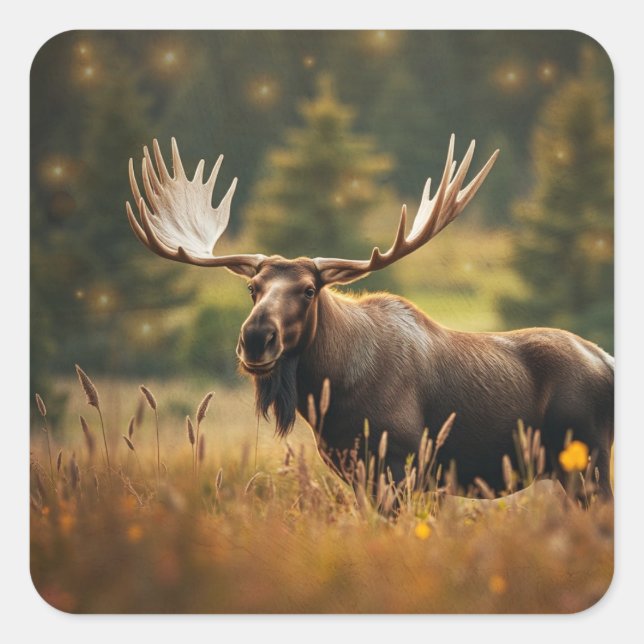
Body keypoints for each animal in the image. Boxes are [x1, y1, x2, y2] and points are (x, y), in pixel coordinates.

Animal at [125, 135, 614, 499]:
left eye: (309, 290)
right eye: (253, 288)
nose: (257, 338)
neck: (334, 389)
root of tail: (607, 361)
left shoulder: (400, 463)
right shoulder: (354, 470)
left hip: (586, 461)